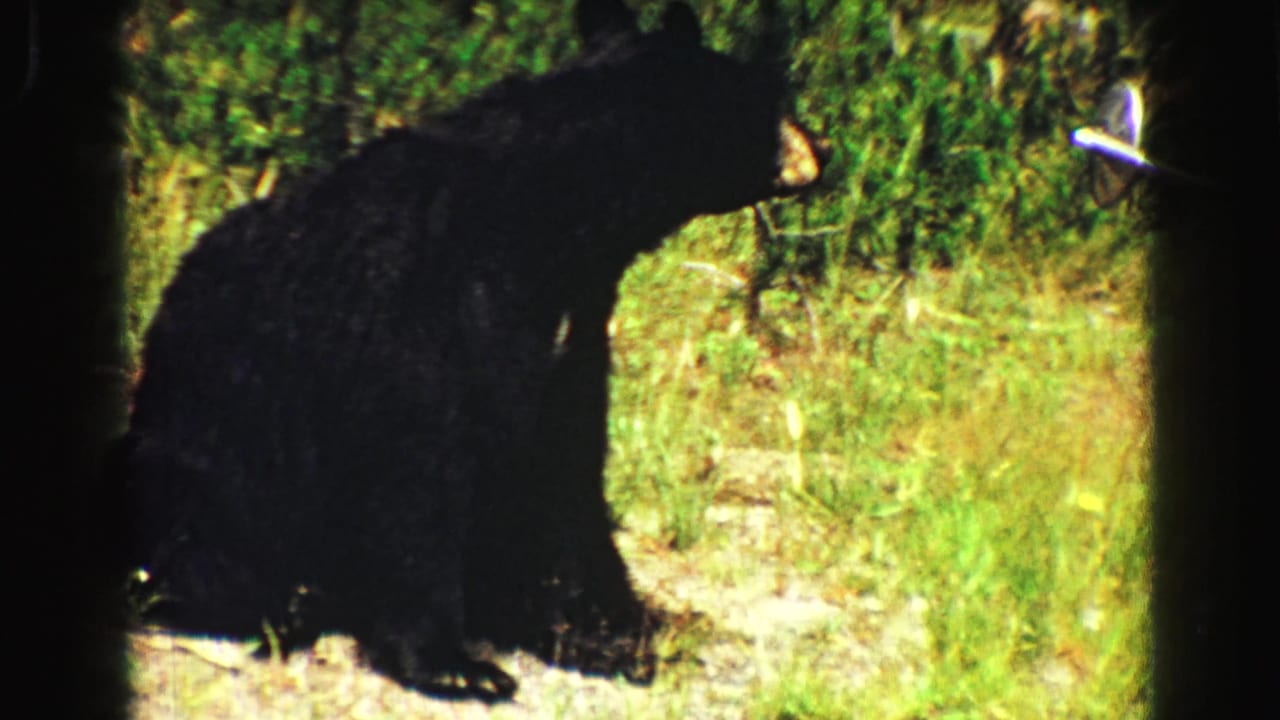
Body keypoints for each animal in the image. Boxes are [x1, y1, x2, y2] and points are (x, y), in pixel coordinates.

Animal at [122, 0, 829, 700]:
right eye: (768, 97)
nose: (817, 152)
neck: (557, 223)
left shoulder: (572, 329)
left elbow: (565, 467)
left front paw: (613, 634)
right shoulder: (425, 311)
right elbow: (419, 472)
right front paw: (458, 663)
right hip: (193, 459)